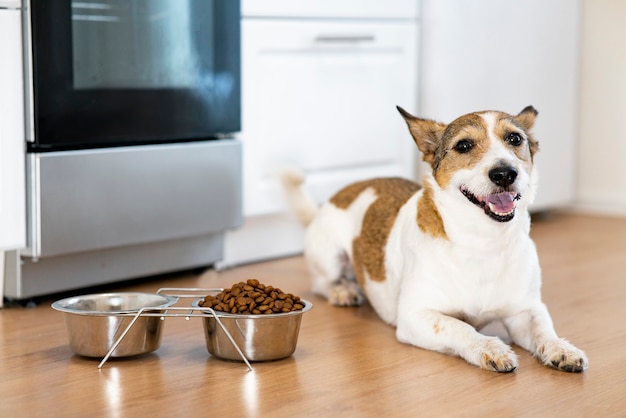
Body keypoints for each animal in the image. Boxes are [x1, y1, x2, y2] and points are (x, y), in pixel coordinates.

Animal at [282, 104, 584, 372]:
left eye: (515, 139)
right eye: (464, 145)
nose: (505, 174)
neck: (483, 240)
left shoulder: (525, 310)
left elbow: (543, 329)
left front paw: (560, 348)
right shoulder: (416, 316)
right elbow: (460, 326)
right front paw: (489, 347)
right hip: (331, 258)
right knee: (322, 283)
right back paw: (343, 290)